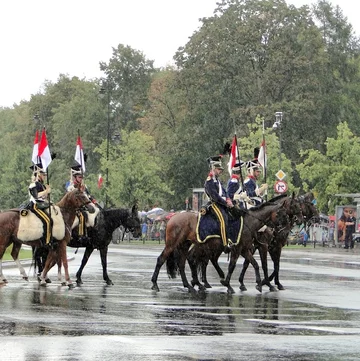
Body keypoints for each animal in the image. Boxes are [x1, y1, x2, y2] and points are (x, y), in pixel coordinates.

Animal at [151, 195, 286, 294]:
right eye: (280, 213)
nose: (280, 230)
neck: (248, 223)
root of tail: (172, 218)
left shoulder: (245, 249)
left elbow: (256, 264)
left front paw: (260, 284)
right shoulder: (238, 249)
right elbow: (233, 266)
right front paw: (228, 284)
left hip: (186, 245)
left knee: (183, 263)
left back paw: (190, 286)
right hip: (173, 244)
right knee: (161, 259)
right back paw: (155, 284)